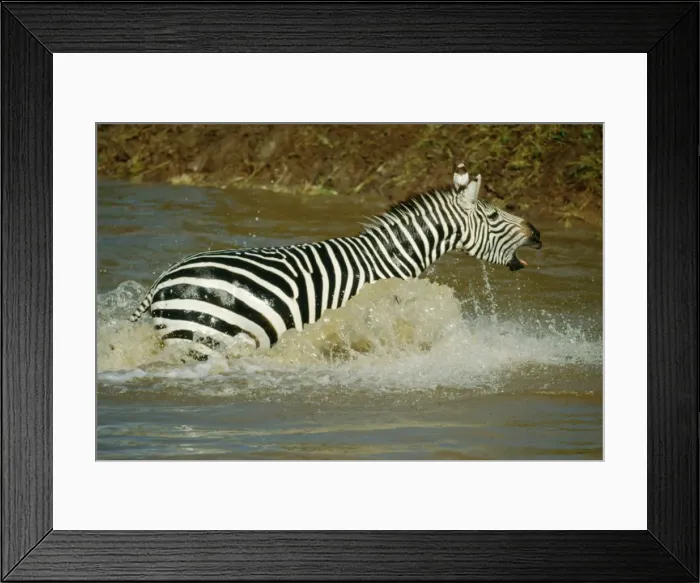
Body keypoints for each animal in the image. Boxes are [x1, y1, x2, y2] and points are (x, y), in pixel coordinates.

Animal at [129, 164, 542, 356]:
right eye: (493, 216)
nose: (538, 234)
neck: (385, 260)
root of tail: (163, 279)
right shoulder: (370, 317)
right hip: (199, 340)